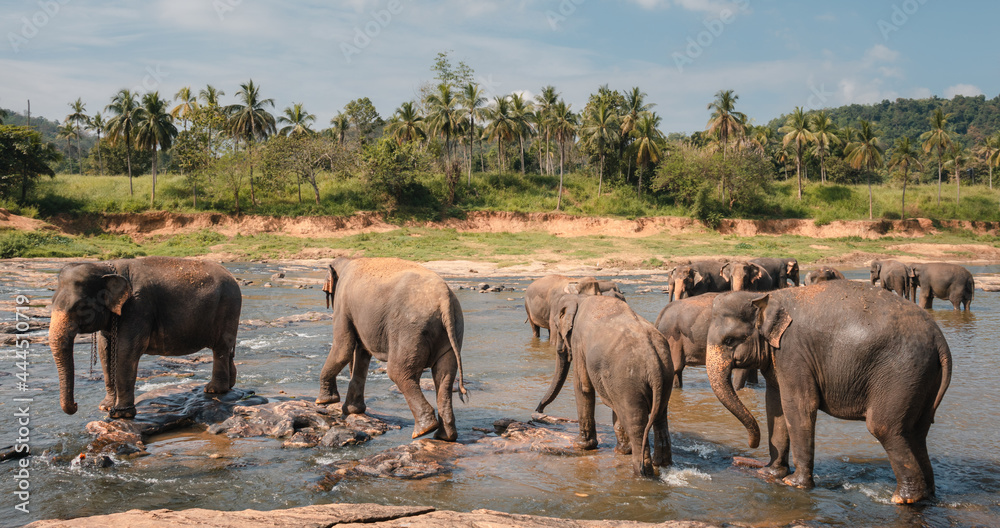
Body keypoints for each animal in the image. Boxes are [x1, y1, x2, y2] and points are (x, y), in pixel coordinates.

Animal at [49, 257, 242, 419]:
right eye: (51, 301)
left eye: (81, 307)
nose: (75, 404)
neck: (107, 267)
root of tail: (232, 277)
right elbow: (105, 351)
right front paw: (105, 407)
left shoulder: (138, 307)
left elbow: (125, 351)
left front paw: (121, 414)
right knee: (227, 351)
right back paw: (229, 386)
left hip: (228, 306)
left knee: (221, 348)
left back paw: (213, 391)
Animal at [318, 257, 467, 441]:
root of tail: (444, 298)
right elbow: (362, 352)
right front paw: (352, 410)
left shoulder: (343, 304)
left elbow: (343, 348)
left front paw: (323, 402)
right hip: (453, 330)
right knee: (444, 377)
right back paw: (444, 436)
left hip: (409, 330)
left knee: (398, 372)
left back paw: (423, 430)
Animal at [548, 293, 673, 477]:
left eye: (556, 327)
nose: (538, 411)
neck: (580, 297)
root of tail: (653, 358)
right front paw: (622, 450)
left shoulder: (578, 342)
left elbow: (582, 386)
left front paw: (581, 445)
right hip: (665, 377)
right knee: (660, 417)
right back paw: (662, 464)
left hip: (630, 381)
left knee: (636, 423)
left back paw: (642, 472)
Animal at [705, 281, 952, 504]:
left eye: (729, 340)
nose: (750, 446)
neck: (766, 296)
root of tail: (940, 342)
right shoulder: (779, 357)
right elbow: (775, 405)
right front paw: (769, 474)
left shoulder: (793, 351)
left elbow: (799, 405)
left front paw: (794, 484)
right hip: (924, 379)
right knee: (916, 433)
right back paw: (926, 495)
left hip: (903, 373)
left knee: (884, 428)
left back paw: (903, 498)